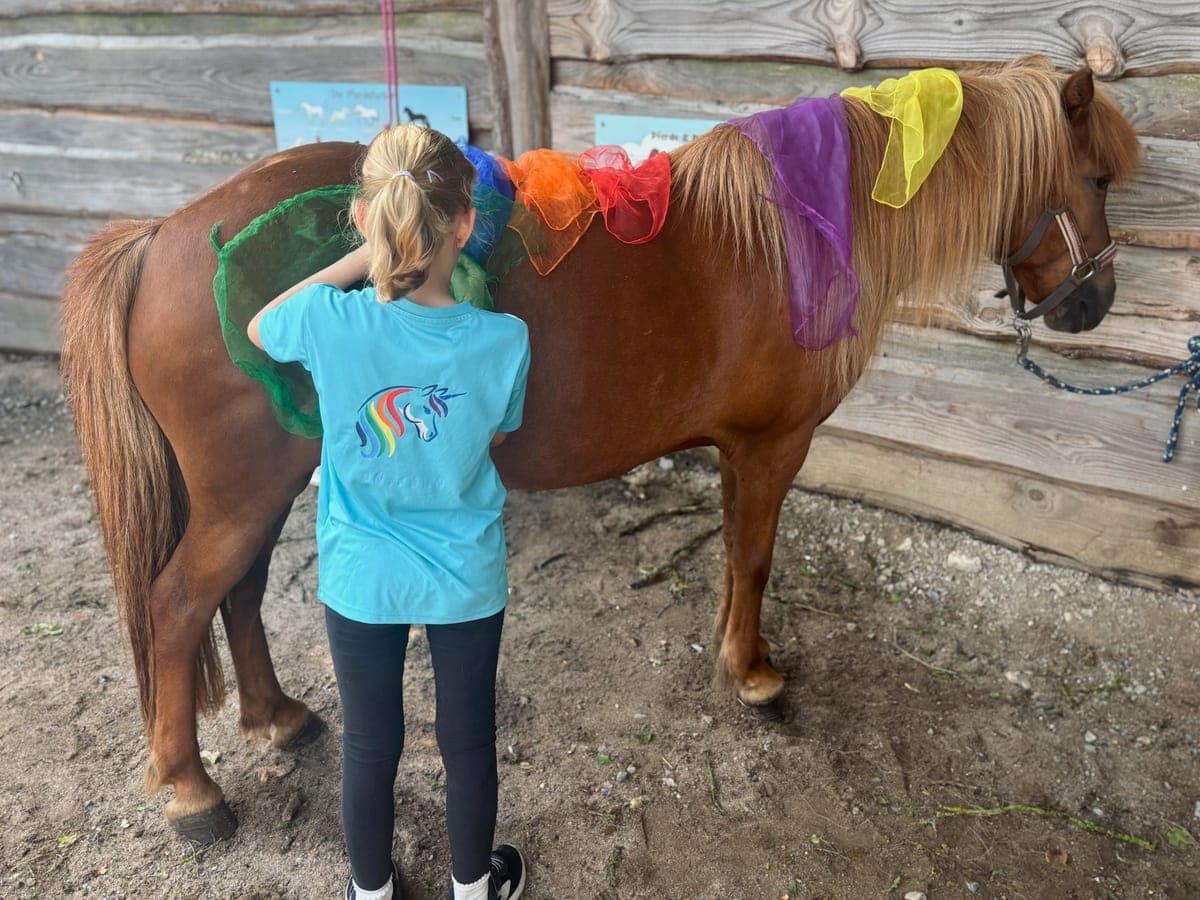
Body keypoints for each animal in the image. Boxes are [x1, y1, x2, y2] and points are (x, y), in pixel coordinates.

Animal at [59, 58, 1140, 844]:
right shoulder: (773, 445)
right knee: (176, 605)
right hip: (242, 490)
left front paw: (729, 648)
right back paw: (192, 791)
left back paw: (278, 716)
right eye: (1094, 177)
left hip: (264, 486)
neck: (797, 230)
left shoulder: (737, 450)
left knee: (235, 597)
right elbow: (756, 558)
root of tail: (163, 237)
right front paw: (754, 675)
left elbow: (733, 555)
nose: (1093, 303)